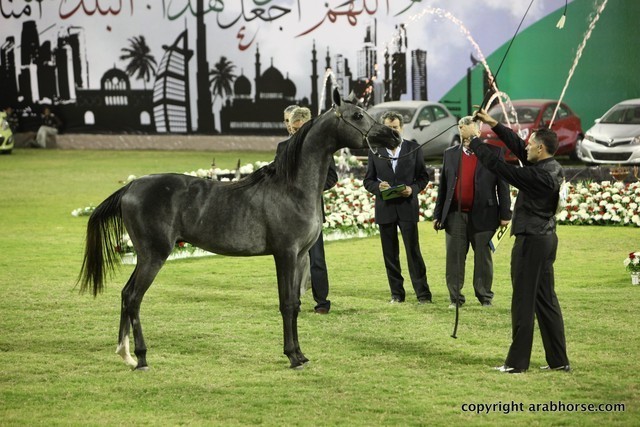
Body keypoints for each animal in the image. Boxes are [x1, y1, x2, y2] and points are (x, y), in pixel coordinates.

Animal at [78, 89, 401, 370]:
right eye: (357, 115)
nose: (394, 136)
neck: (291, 188)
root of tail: (131, 187)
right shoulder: (284, 255)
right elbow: (286, 304)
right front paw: (292, 357)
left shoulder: (300, 257)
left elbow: (296, 303)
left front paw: (300, 354)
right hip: (153, 256)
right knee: (134, 297)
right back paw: (142, 358)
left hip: (145, 256)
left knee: (125, 294)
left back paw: (126, 355)